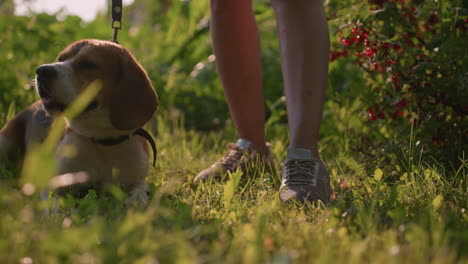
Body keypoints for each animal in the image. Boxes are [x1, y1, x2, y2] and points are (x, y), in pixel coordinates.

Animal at [0, 38, 159, 204]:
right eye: (60, 59)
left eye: (88, 64)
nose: (41, 70)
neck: (101, 140)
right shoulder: (52, 185)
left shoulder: (137, 178)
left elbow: (139, 192)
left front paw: (134, 202)